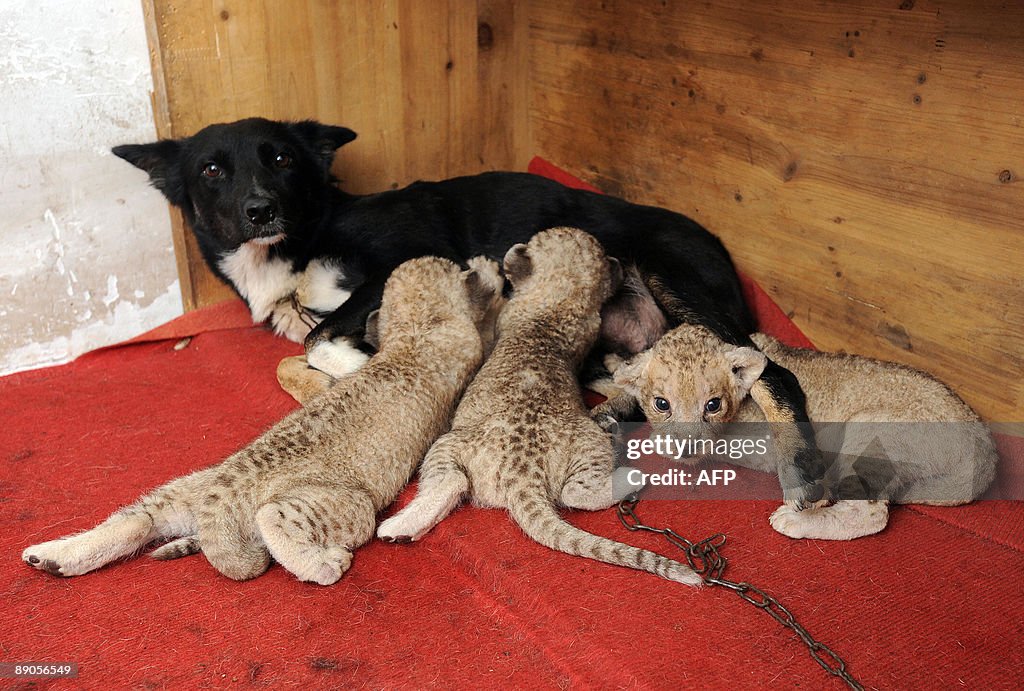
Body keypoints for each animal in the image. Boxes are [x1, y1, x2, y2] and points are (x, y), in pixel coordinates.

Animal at [114, 118, 823, 505]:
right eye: (211, 170)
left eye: (282, 159)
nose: (260, 209)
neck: (304, 238)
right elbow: (294, 358)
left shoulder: (408, 261)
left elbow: (319, 340)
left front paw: (360, 367)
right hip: (617, 345)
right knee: (637, 383)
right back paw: (615, 414)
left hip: (670, 278)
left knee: (775, 375)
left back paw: (803, 476)